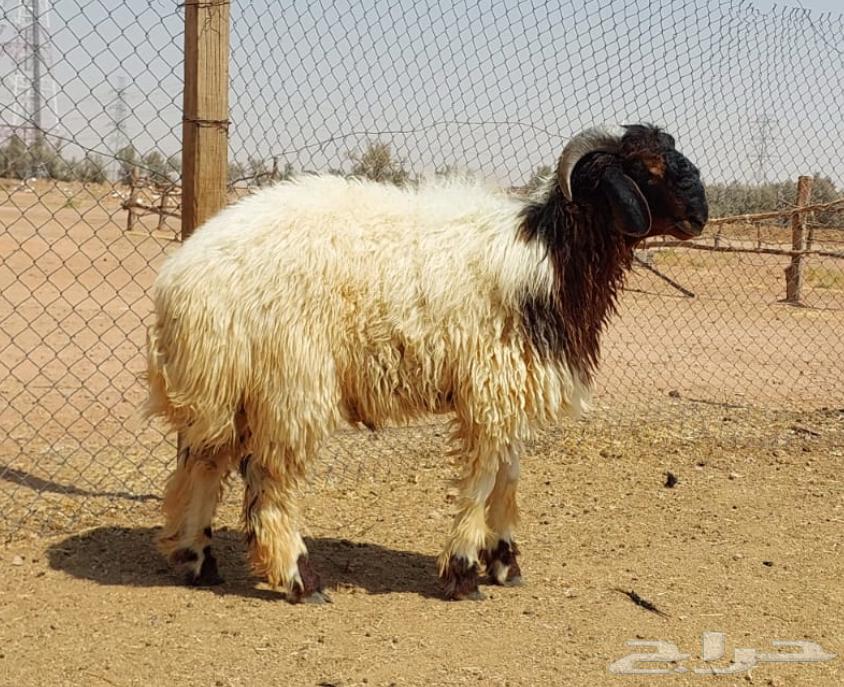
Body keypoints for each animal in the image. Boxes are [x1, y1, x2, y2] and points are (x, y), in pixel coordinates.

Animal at [145, 123, 708, 602]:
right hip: (290, 382)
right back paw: (299, 579)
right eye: (646, 168)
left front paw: (504, 563)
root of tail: (180, 277)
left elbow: (509, 476)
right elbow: (483, 478)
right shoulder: (491, 386)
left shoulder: (510, 387)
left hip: (228, 382)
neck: (549, 256)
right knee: (268, 481)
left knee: (203, 462)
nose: (700, 215)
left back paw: (197, 560)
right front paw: (463, 572)